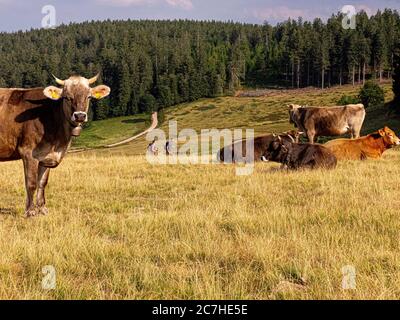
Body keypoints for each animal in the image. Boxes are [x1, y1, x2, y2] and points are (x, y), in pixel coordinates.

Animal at [0, 74, 111, 216]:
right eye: (67, 97)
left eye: (89, 96)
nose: (80, 116)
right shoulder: (28, 152)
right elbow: (31, 183)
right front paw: (30, 211)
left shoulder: (46, 156)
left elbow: (42, 183)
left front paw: (42, 208)